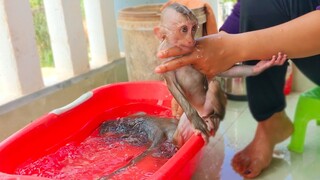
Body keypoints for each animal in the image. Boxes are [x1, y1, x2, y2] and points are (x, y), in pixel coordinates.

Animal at [154, 2, 286, 143]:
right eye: (184, 29)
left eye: (194, 28)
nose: (191, 40)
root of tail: (202, 112)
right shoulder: (163, 59)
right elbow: (172, 85)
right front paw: (196, 122)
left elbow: (219, 70)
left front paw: (259, 67)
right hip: (186, 121)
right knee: (178, 138)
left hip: (208, 107)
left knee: (214, 85)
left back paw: (215, 118)